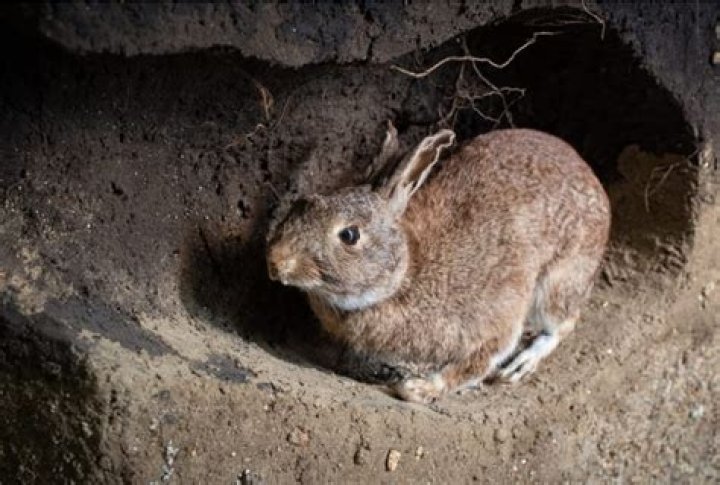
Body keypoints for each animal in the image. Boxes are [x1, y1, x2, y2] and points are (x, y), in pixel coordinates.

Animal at [266, 122, 610, 404]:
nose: (276, 261)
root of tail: (595, 183)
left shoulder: (495, 319)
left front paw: (419, 389)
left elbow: (478, 362)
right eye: (303, 204)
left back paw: (521, 364)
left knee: (563, 322)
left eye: (349, 235)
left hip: (559, 282)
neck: (405, 273)